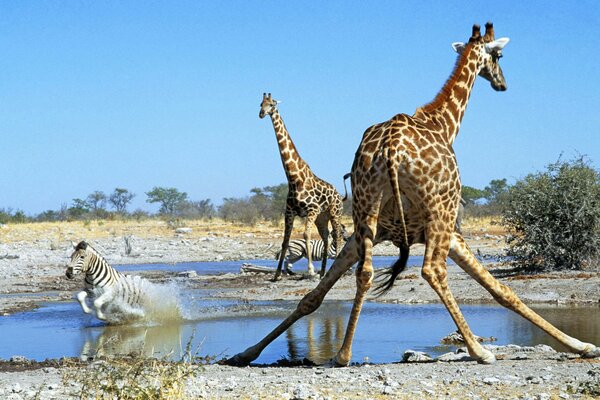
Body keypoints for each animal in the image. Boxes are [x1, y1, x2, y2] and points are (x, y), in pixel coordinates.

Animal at [260, 94, 344, 282]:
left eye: (272, 104)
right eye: (261, 104)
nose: (261, 113)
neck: (293, 178)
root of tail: (339, 195)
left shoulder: (311, 210)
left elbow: (306, 235)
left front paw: (310, 270)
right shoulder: (289, 211)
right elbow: (285, 240)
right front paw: (276, 274)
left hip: (334, 213)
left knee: (337, 235)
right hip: (322, 217)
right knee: (326, 238)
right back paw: (324, 272)